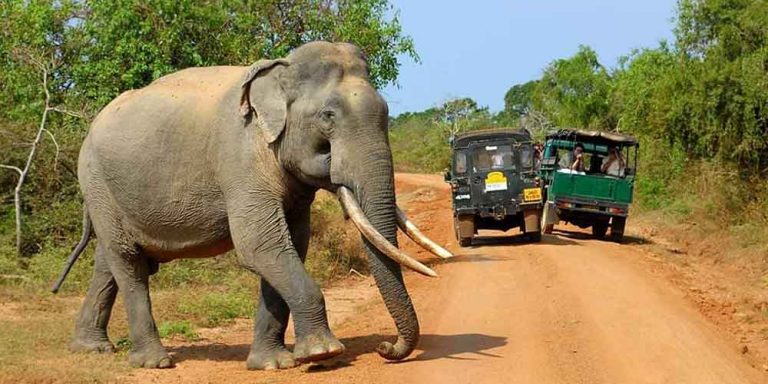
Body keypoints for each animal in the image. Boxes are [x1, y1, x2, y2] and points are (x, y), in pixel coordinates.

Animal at [51, 41, 452, 368]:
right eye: (328, 116)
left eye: (386, 114)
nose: (386, 348)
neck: (279, 72)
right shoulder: (240, 158)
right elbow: (260, 245)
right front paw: (323, 354)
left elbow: (291, 244)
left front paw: (272, 364)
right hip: (96, 180)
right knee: (128, 261)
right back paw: (154, 362)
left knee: (109, 260)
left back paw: (91, 348)